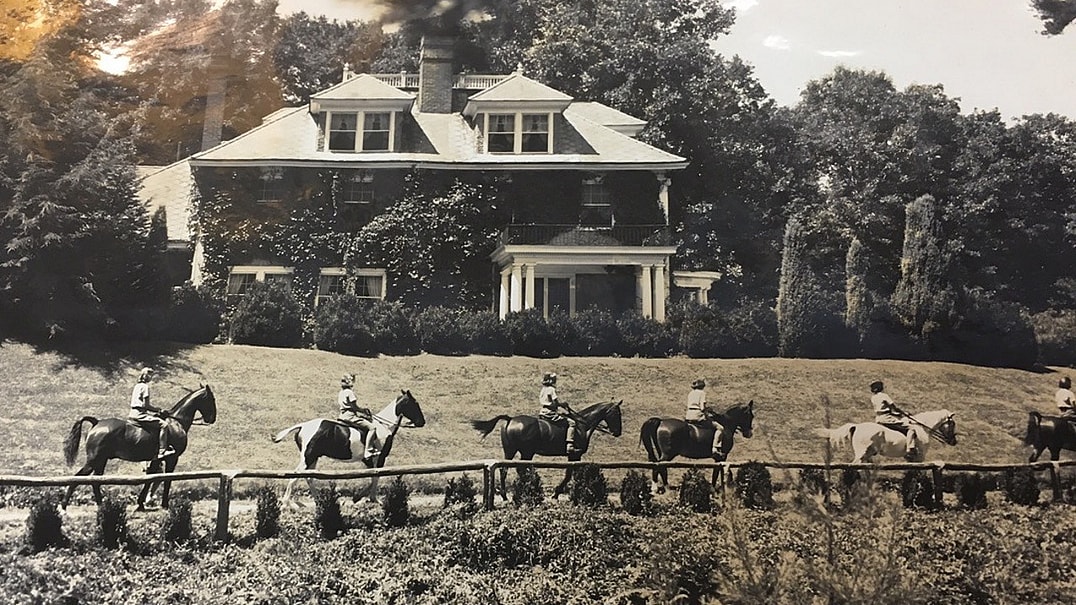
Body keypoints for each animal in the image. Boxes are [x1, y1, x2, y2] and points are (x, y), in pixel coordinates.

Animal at [61, 381, 217, 508]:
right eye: (212, 399)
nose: (212, 419)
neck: (176, 422)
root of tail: (97, 422)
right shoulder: (172, 458)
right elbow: (166, 480)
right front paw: (164, 504)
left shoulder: (156, 460)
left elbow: (150, 479)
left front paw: (141, 502)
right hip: (94, 460)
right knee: (77, 479)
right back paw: (63, 506)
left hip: (101, 461)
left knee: (95, 481)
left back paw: (100, 505)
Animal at [271, 385, 426, 503]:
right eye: (415, 404)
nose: (422, 422)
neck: (384, 426)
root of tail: (303, 426)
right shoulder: (379, 458)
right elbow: (375, 477)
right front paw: (370, 498)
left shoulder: (369, 460)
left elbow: (372, 477)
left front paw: (360, 497)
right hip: (308, 457)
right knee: (295, 476)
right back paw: (287, 503)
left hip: (313, 458)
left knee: (308, 477)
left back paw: (318, 500)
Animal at [469, 400, 624, 499]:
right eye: (617, 414)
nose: (618, 432)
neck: (582, 425)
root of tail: (511, 419)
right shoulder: (575, 455)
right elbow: (569, 474)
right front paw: (557, 493)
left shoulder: (574, 457)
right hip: (526, 452)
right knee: (519, 469)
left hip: (511, 451)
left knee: (505, 469)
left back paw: (505, 495)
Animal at [813, 406, 959, 462]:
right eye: (952, 424)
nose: (953, 442)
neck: (922, 428)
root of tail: (857, 426)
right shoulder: (920, 457)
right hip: (862, 452)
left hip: (868, 453)